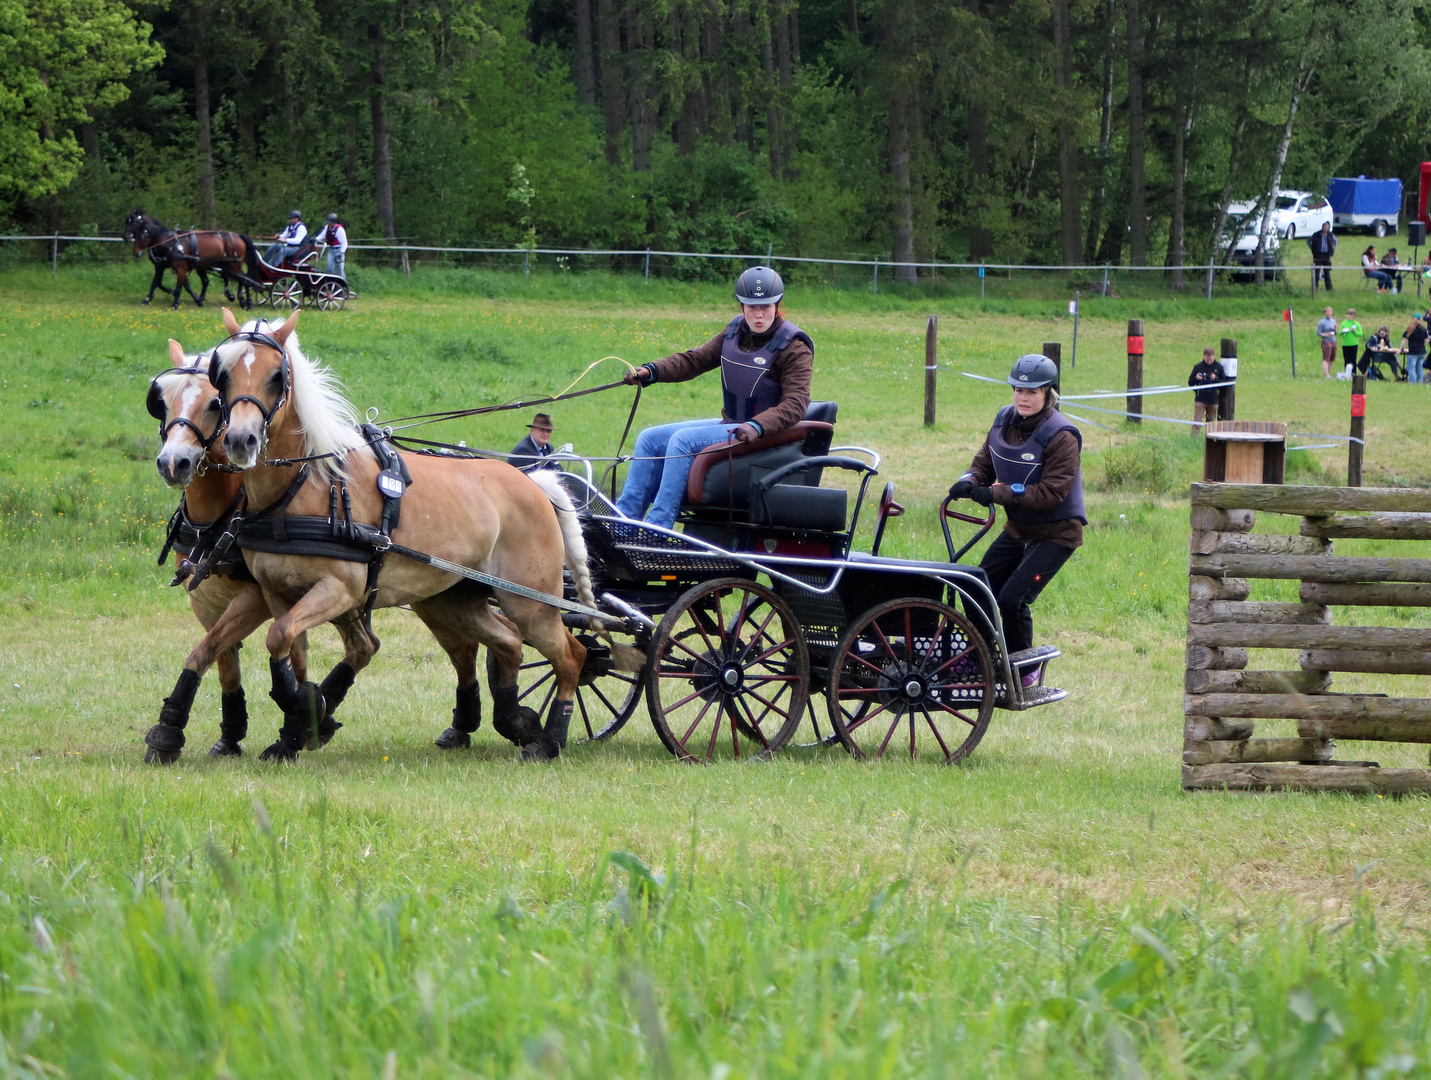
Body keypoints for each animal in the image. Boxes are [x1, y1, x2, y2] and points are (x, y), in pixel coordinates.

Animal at [123, 211, 257, 310]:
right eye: (127, 223)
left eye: (134, 223)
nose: (125, 237)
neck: (170, 242)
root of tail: (238, 236)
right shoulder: (161, 266)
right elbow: (157, 283)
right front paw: (148, 299)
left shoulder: (180, 268)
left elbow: (179, 287)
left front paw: (175, 304)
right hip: (217, 265)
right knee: (222, 280)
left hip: (234, 263)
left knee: (244, 280)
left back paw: (248, 303)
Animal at [146, 341, 374, 766]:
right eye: (161, 401)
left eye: (214, 403)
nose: (173, 462)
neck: (220, 515)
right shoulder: (206, 602)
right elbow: (222, 661)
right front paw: (230, 735)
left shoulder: (254, 600)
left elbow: (205, 650)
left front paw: (168, 730)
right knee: (364, 645)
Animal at [208, 306, 598, 761]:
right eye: (222, 374)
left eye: (276, 376)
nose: (241, 440)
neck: (308, 487)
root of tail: (533, 481)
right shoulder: (279, 593)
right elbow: (290, 652)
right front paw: (299, 727)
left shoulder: (339, 589)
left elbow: (278, 636)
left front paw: (308, 719)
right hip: (452, 602)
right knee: (508, 642)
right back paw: (514, 722)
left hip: (529, 602)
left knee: (570, 656)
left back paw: (550, 739)